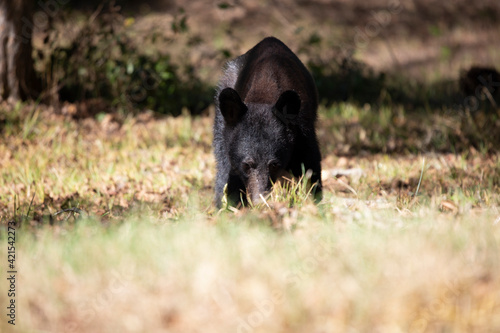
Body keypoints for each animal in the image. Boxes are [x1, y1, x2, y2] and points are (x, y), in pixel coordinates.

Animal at [212, 37, 322, 208]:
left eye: (274, 165)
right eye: (246, 165)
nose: (259, 201)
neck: (265, 93)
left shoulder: (302, 133)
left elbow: (311, 167)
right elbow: (230, 175)